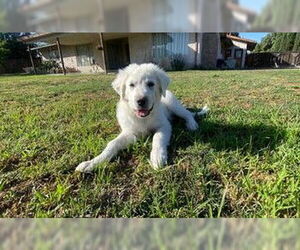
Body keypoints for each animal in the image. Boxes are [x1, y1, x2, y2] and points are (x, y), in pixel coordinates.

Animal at [75, 63, 209, 172]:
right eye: (131, 85)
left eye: (150, 84)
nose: (141, 101)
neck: (143, 118)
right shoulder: (130, 133)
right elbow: (112, 144)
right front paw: (92, 163)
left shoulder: (164, 125)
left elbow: (158, 138)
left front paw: (157, 157)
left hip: (173, 103)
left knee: (187, 114)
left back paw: (192, 125)